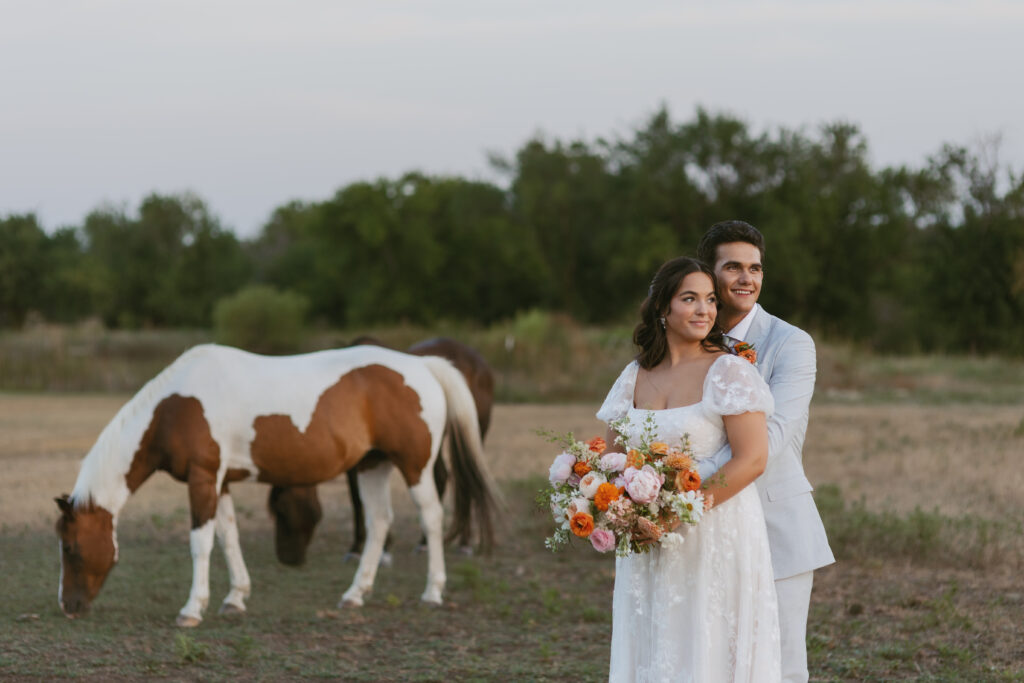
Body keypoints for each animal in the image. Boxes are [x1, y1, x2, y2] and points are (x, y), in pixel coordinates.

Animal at [268, 335, 495, 565]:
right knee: (444, 478)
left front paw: (382, 549)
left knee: (467, 482)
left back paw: (464, 544)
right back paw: (424, 543)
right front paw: (359, 548)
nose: (288, 557)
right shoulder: (359, 464)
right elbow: (358, 501)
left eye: (280, 509)